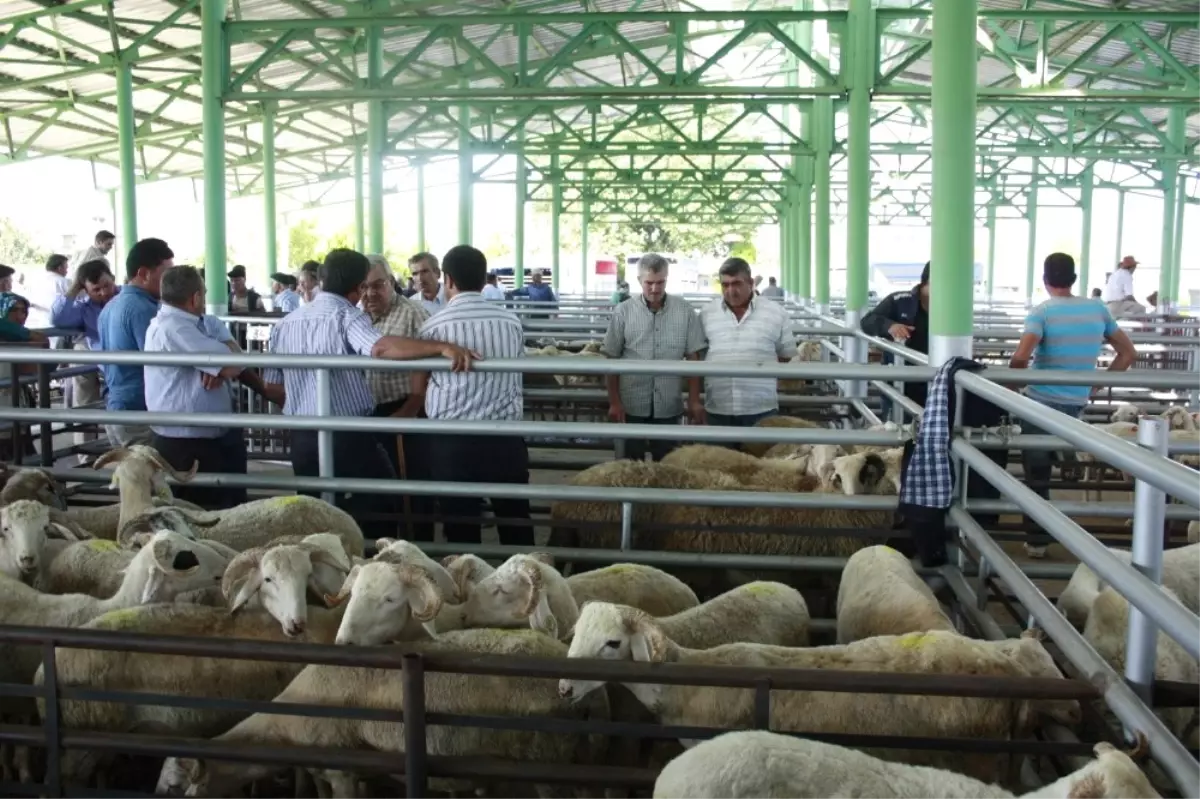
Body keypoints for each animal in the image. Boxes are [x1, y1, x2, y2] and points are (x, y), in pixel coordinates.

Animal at [164, 628, 609, 796]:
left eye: (171, 788)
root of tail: (588, 692)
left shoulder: (342, 768)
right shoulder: (332, 769)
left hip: (546, 758)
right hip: (579, 754)